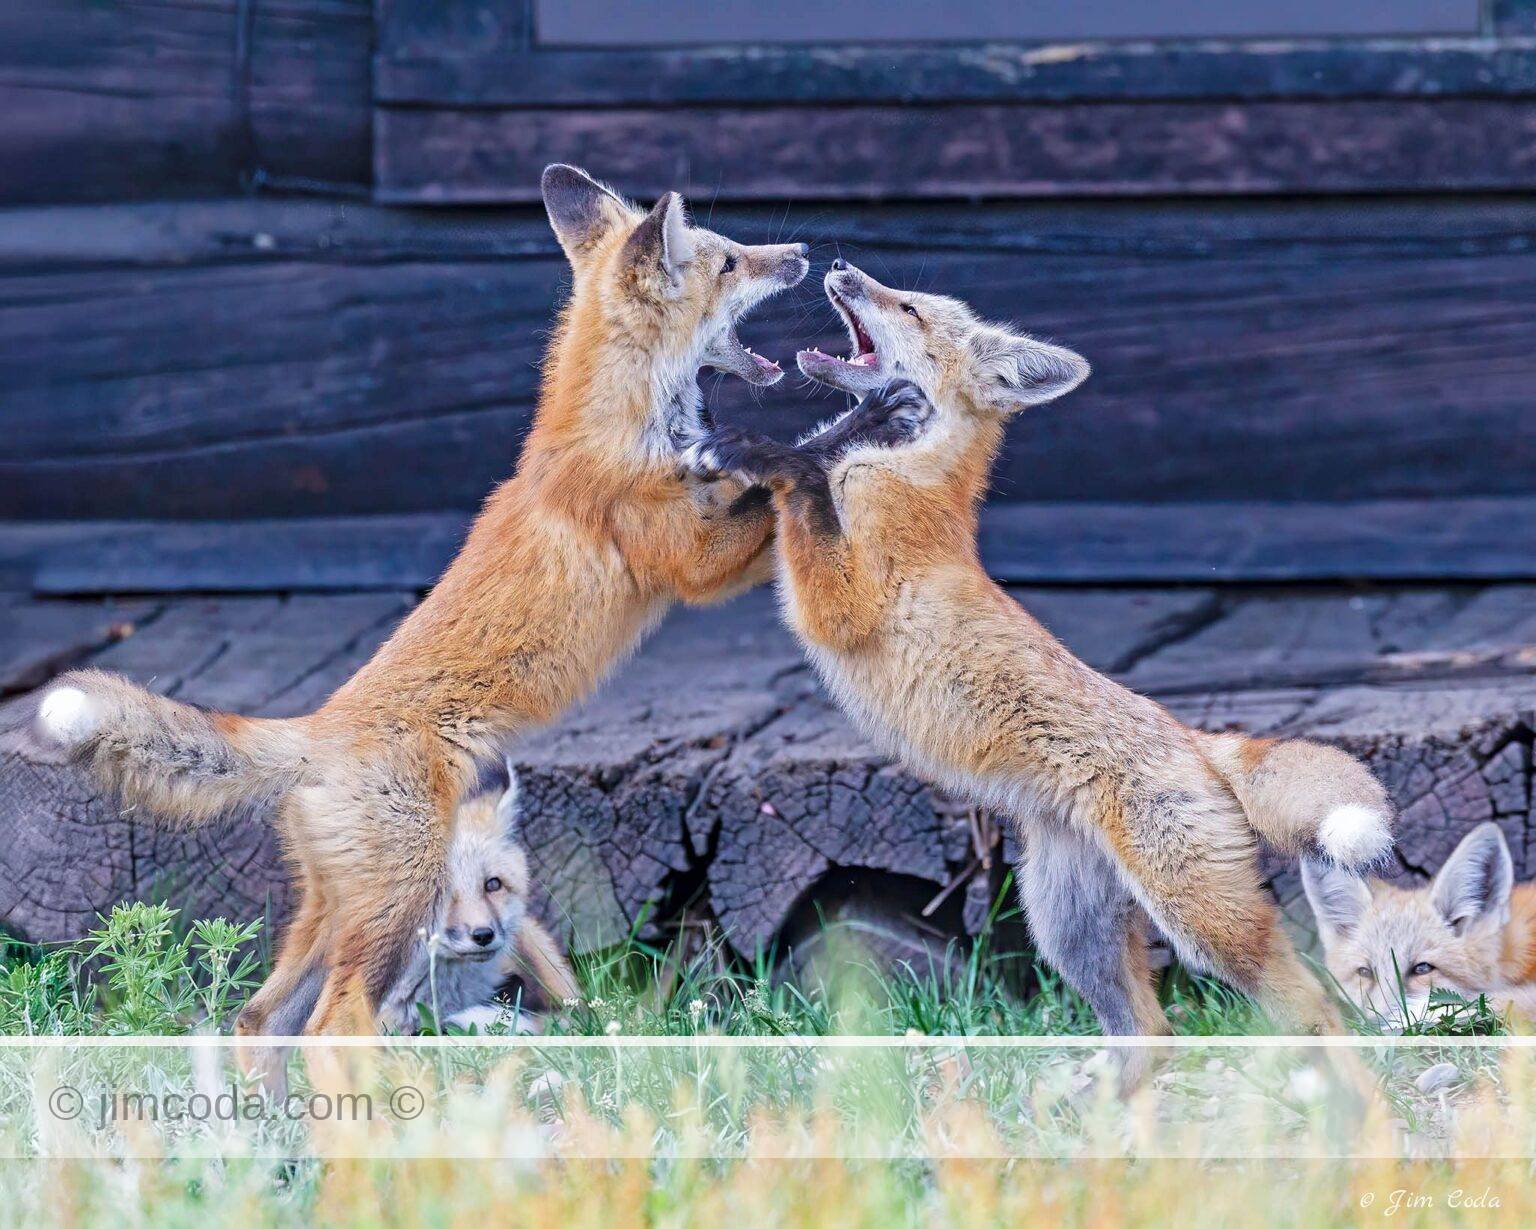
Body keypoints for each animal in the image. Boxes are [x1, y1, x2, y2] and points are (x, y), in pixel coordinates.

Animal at [32, 164, 809, 1038]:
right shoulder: (692, 564)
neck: (623, 423)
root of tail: (318, 729)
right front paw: (837, 439)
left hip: (337, 912)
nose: (802, 253)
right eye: (732, 261)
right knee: (335, 1020)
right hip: (401, 902)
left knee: (257, 1020)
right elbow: (771, 495)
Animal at [683, 260, 1395, 1058]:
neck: (906, 471)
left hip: (1203, 922)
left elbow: (802, 480)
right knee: (1150, 1028)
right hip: (1067, 930)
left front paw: (762, 452)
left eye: (908, 308)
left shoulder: (840, 605)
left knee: (1313, 1005)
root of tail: (1195, 739)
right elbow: (802, 471)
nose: (840, 266)